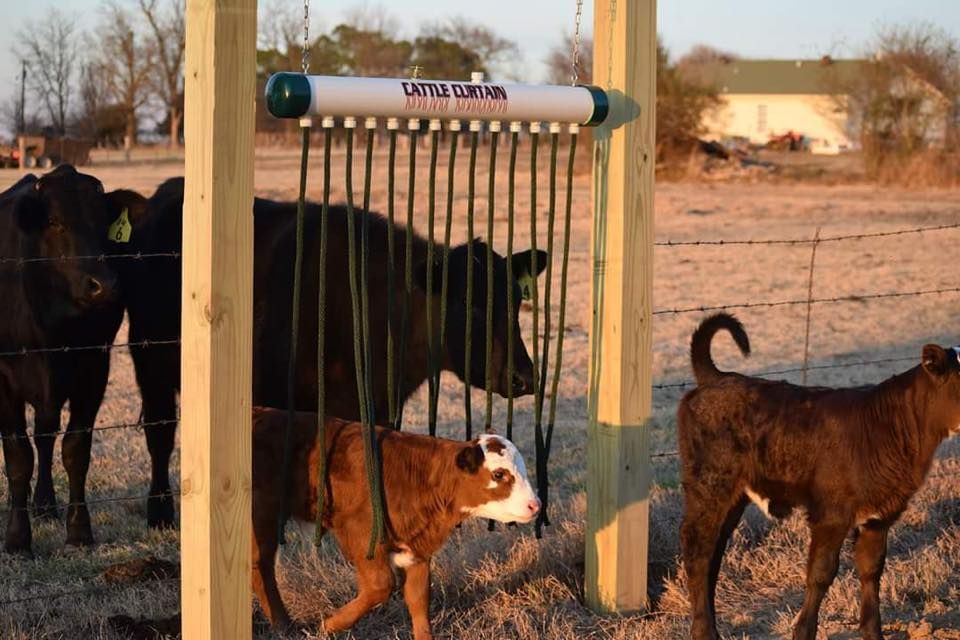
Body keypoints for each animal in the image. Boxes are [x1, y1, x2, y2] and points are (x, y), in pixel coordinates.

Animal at [0, 166, 133, 553]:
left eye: (103, 221)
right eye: (55, 222)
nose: (104, 286)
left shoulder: (94, 369)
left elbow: (75, 449)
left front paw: (79, 532)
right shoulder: (4, 377)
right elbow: (17, 455)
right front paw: (17, 539)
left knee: (45, 438)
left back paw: (44, 504)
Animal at [119, 178, 547, 529]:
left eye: (517, 302)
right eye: (469, 305)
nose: (525, 377)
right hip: (148, 362)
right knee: (160, 434)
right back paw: (160, 512)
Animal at [250, 406, 540, 639]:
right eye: (499, 474)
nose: (535, 505)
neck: (416, 478)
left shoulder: (416, 549)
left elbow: (418, 598)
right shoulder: (362, 537)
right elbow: (381, 586)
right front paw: (329, 624)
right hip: (262, 515)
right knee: (261, 565)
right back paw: (284, 624)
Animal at [677, 313, 960, 640]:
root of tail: (718, 378)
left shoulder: (878, 517)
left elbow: (871, 570)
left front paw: (872, 633)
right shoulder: (831, 514)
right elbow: (822, 573)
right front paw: (804, 631)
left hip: (732, 498)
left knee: (713, 556)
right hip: (709, 486)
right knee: (698, 553)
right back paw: (704, 631)